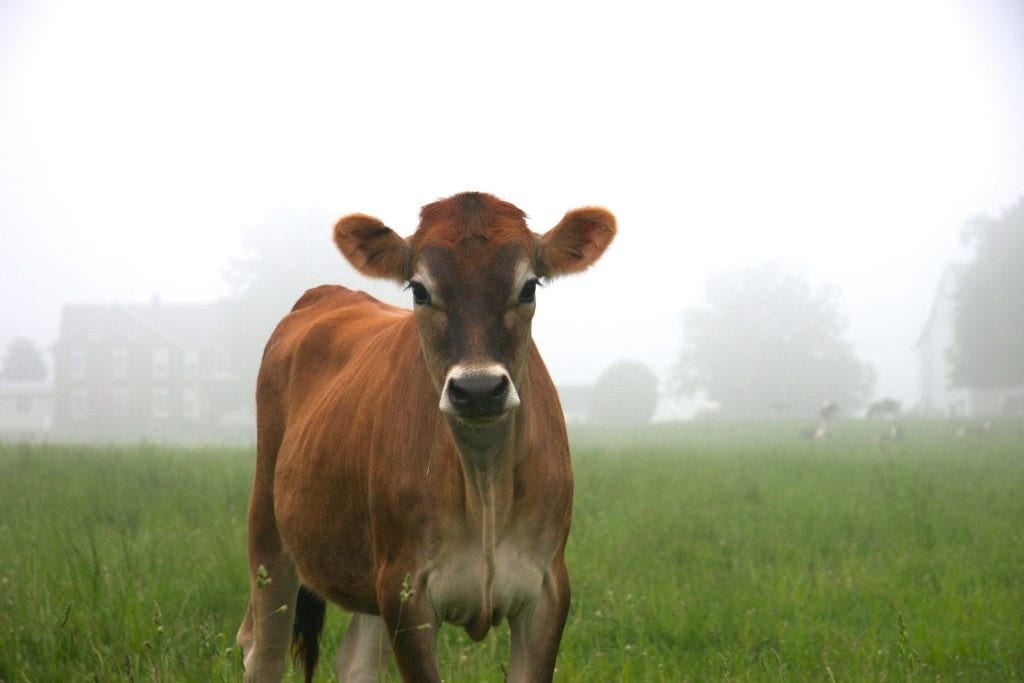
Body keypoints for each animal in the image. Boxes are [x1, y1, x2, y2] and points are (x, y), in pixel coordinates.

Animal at [235, 192, 615, 682]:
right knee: (262, 650)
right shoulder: (405, 589)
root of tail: (326, 293)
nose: (478, 388)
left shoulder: (548, 589)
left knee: (355, 662)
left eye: (529, 287)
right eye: (419, 289)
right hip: (269, 531)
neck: (485, 486)